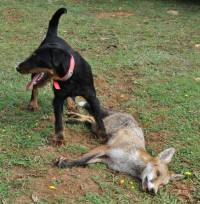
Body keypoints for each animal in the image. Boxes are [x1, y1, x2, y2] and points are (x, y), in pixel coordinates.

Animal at [16, 7, 106, 145]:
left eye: (36, 58)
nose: (17, 67)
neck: (70, 77)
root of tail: (52, 35)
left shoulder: (92, 96)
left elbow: (98, 116)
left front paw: (103, 135)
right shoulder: (57, 99)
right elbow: (58, 120)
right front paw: (59, 138)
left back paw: (71, 104)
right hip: (34, 75)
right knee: (34, 87)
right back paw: (33, 104)